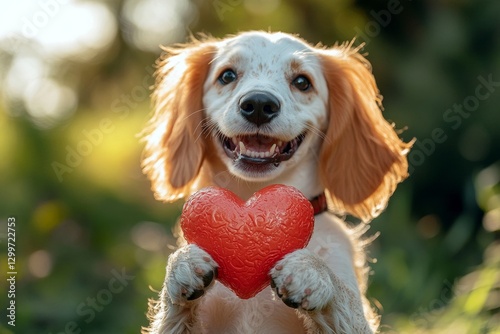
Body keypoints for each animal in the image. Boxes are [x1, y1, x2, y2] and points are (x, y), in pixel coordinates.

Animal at [140, 30, 410, 332]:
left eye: (302, 82)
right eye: (227, 75)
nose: (259, 104)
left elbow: (342, 294)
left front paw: (311, 271)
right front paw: (181, 263)